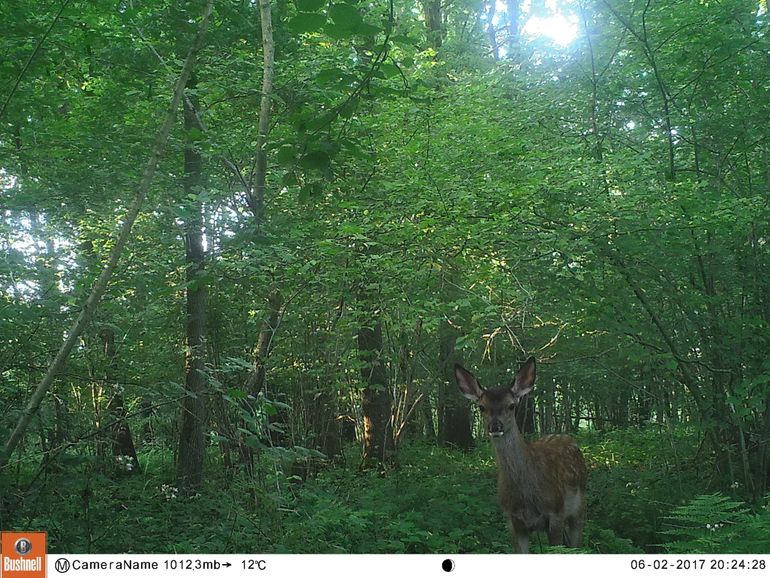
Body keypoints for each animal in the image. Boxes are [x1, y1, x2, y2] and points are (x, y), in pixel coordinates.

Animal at [452, 354, 584, 552]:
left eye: (512, 406)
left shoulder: (556, 511)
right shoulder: (514, 521)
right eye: (482, 407)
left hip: (579, 504)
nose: (495, 426)